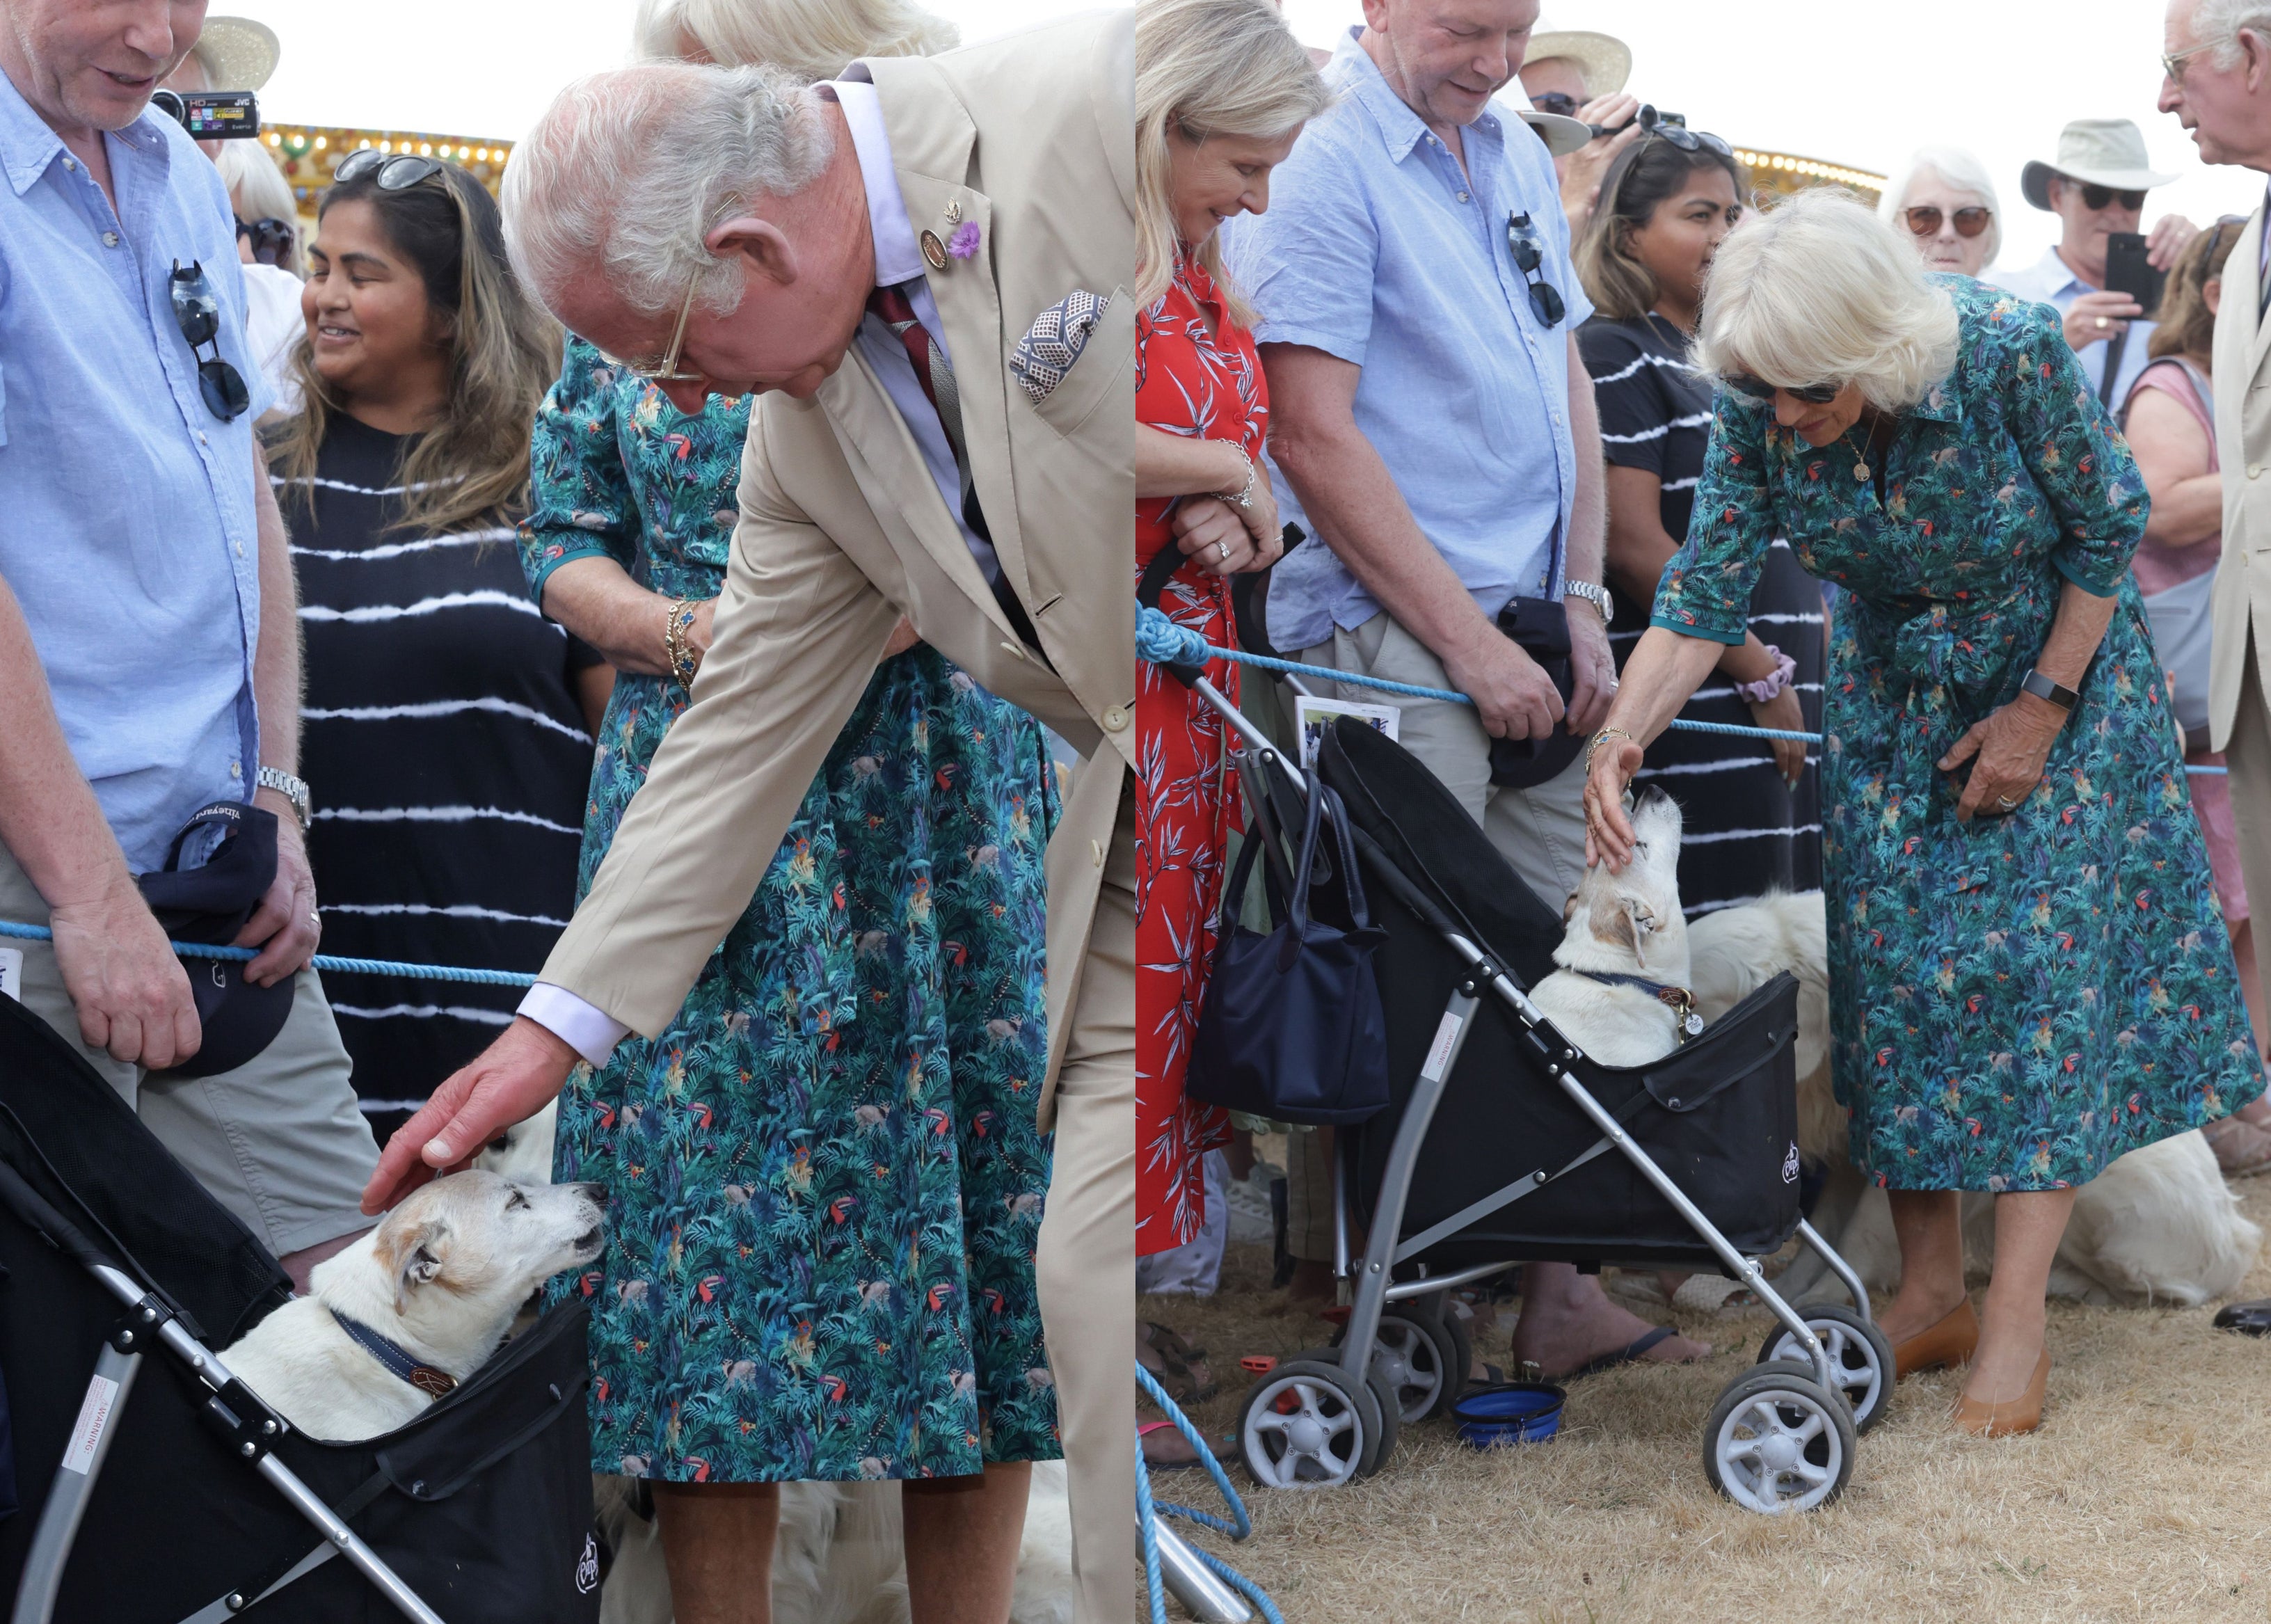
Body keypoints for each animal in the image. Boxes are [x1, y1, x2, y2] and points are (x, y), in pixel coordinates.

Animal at [1689, 890, 2252, 1308]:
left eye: (1685, 994)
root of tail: (2239, 1232)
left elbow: (1862, 1237)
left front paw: (1826, 1299)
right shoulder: (1853, 1155)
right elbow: (1826, 1228)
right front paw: (1783, 1292)